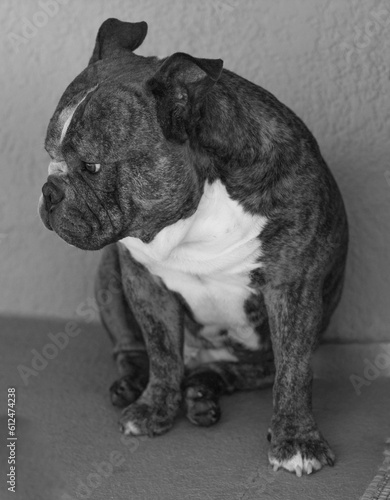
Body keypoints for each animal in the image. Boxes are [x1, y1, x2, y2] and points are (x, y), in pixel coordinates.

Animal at [38, 17, 348, 474]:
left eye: (92, 166)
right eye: (50, 154)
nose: (50, 191)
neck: (199, 206)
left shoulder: (293, 289)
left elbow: (294, 371)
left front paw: (297, 440)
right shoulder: (144, 281)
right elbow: (163, 352)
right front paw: (154, 408)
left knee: (254, 371)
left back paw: (204, 390)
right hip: (109, 275)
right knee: (133, 349)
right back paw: (138, 384)